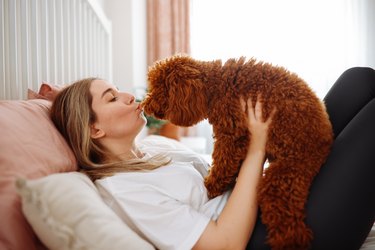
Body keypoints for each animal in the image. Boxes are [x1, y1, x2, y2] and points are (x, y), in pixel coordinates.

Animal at [142, 54, 334, 250]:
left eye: (160, 88)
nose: (145, 106)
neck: (213, 87)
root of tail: (325, 140)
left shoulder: (231, 136)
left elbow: (222, 164)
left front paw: (212, 187)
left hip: (284, 173)